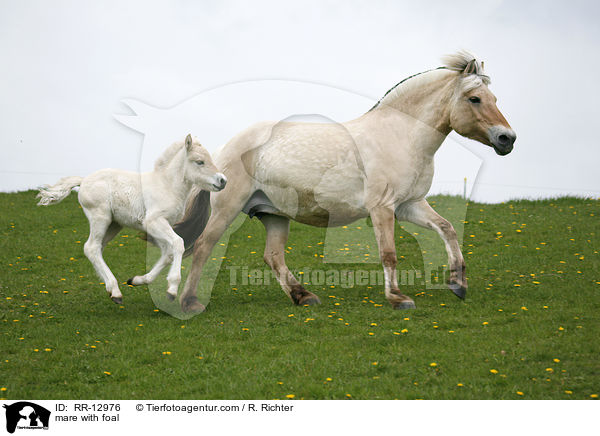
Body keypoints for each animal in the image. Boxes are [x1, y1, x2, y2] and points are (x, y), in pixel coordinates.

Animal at [37, 135, 226, 304]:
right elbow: (178, 243)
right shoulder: (154, 221)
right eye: (200, 161)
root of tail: (83, 181)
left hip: (114, 225)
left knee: (97, 248)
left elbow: (168, 253)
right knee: (91, 247)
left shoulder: (160, 225)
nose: (223, 180)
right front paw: (172, 289)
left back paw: (111, 289)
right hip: (100, 217)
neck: (167, 185)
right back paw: (115, 292)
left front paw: (137, 280)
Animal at [173, 52, 516, 314]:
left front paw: (458, 284)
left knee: (273, 257)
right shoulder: (383, 208)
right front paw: (399, 298)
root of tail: (222, 151)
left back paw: (304, 296)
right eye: (474, 99)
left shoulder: (409, 205)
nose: (507, 139)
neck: (401, 136)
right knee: (203, 247)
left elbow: (447, 228)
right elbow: (388, 253)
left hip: (273, 214)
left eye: (494, 98)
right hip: (227, 209)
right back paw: (190, 303)